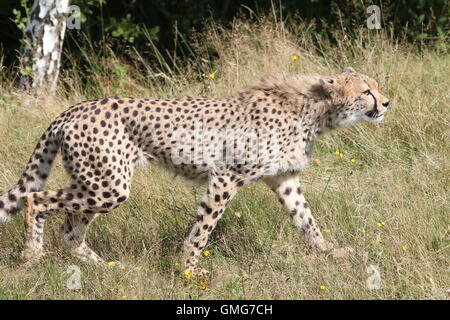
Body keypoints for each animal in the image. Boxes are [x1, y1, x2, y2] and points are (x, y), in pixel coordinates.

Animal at [0, 67, 388, 278]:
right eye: (366, 91)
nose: (386, 103)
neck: (314, 109)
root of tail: (74, 108)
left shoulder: (284, 179)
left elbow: (307, 221)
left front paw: (331, 253)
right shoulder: (226, 176)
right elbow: (204, 228)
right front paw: (188, 268)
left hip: (97, 183)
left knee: (69, 232)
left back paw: (110, 269)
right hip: (108, 185)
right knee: (36, 200)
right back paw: (31, 257)